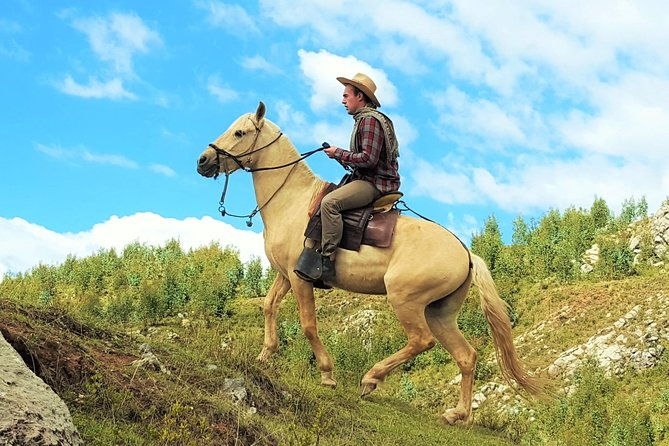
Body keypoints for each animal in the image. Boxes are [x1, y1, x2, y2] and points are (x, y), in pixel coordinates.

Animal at [196, 102, 541, 424]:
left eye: (239, 133)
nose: (203, 161)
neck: (291, 200)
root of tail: (467, 253)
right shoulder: (285, 275)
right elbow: (269, 306)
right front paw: (265, 355)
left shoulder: (300, 278)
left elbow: (308, 325)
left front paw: (327, 374)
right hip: (440, 313)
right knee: (466, 356)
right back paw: (457, 414)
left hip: (406, 300)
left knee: (421, 341)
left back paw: (371, 379)